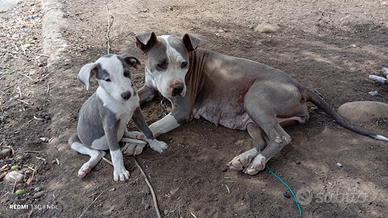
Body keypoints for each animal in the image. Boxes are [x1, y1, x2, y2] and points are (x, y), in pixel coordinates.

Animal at [68, 53, 168, 181]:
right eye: (107, 79)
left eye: (126, 73)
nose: (126, 95)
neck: (120, 102)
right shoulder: (109, 127)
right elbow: (115, 152)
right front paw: (120, 171)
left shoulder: (137, 112)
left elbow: (147, 131)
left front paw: (156, 145)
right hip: (75, 140)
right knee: (98, 153)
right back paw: (86, 168)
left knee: (123, 134)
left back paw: (134, 134)